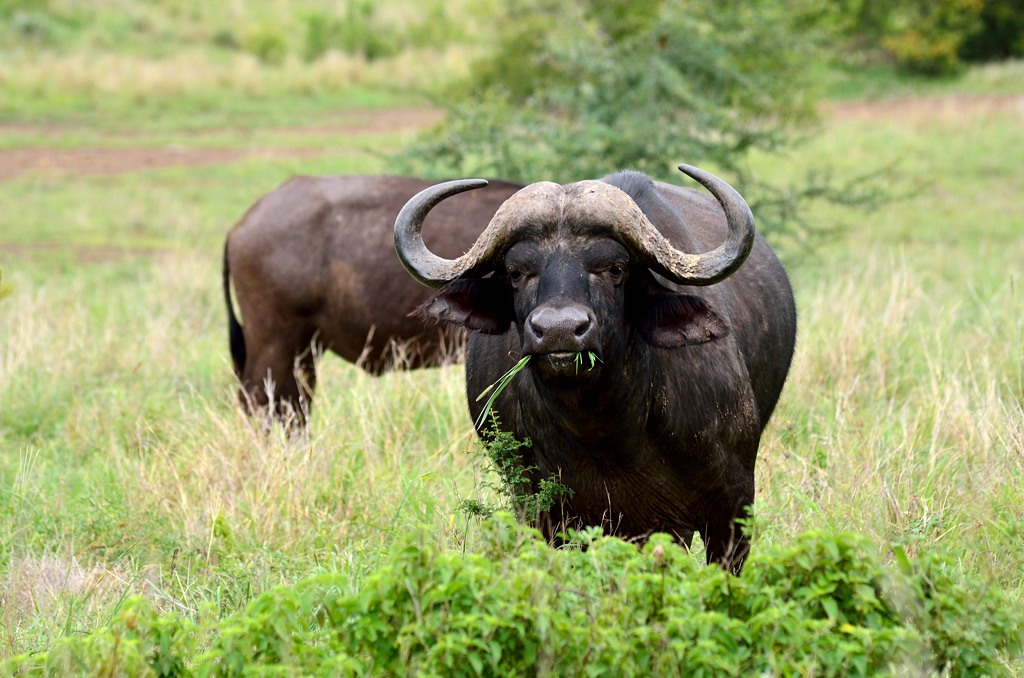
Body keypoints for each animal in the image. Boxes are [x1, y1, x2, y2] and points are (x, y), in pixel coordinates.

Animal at [395, 164, 794, 573]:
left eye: (615, 269)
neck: (609, 428)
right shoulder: (550, 513)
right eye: (517, 272)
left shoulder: (733, 505)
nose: (558, 330)